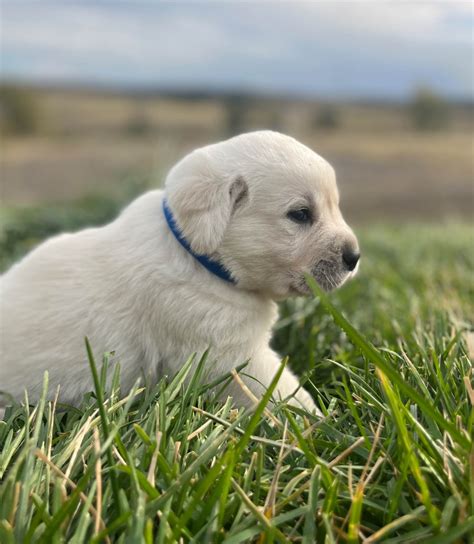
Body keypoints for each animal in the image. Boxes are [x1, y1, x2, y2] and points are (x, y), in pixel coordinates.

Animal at [0, 132, 360, 412]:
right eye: (300, 214)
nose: (354, 257)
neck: (196, 256)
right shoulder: (231, 356)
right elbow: (282, 392)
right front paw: (320, 423)